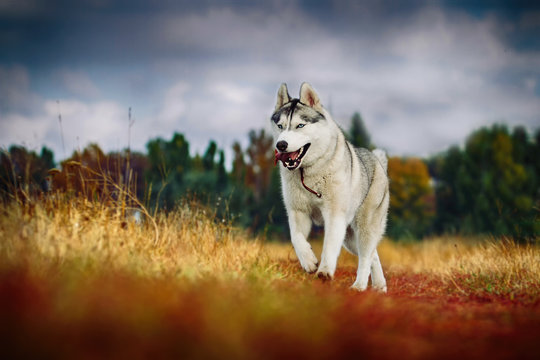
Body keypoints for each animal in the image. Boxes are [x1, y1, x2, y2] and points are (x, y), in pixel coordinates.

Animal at [272, 83, 390, 292]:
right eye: (280, 126)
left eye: (300, 125)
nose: (281, 144)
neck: (309, 173)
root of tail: (378, 161)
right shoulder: (297, 212)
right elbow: (296, 238)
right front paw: (309, 262)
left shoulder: (334, 215)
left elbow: (328, 246)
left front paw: (325, 272)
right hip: (350, 238)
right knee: (372, 255)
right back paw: (379, 286)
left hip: (364, 228)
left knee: (366, 256)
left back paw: (359, 286)